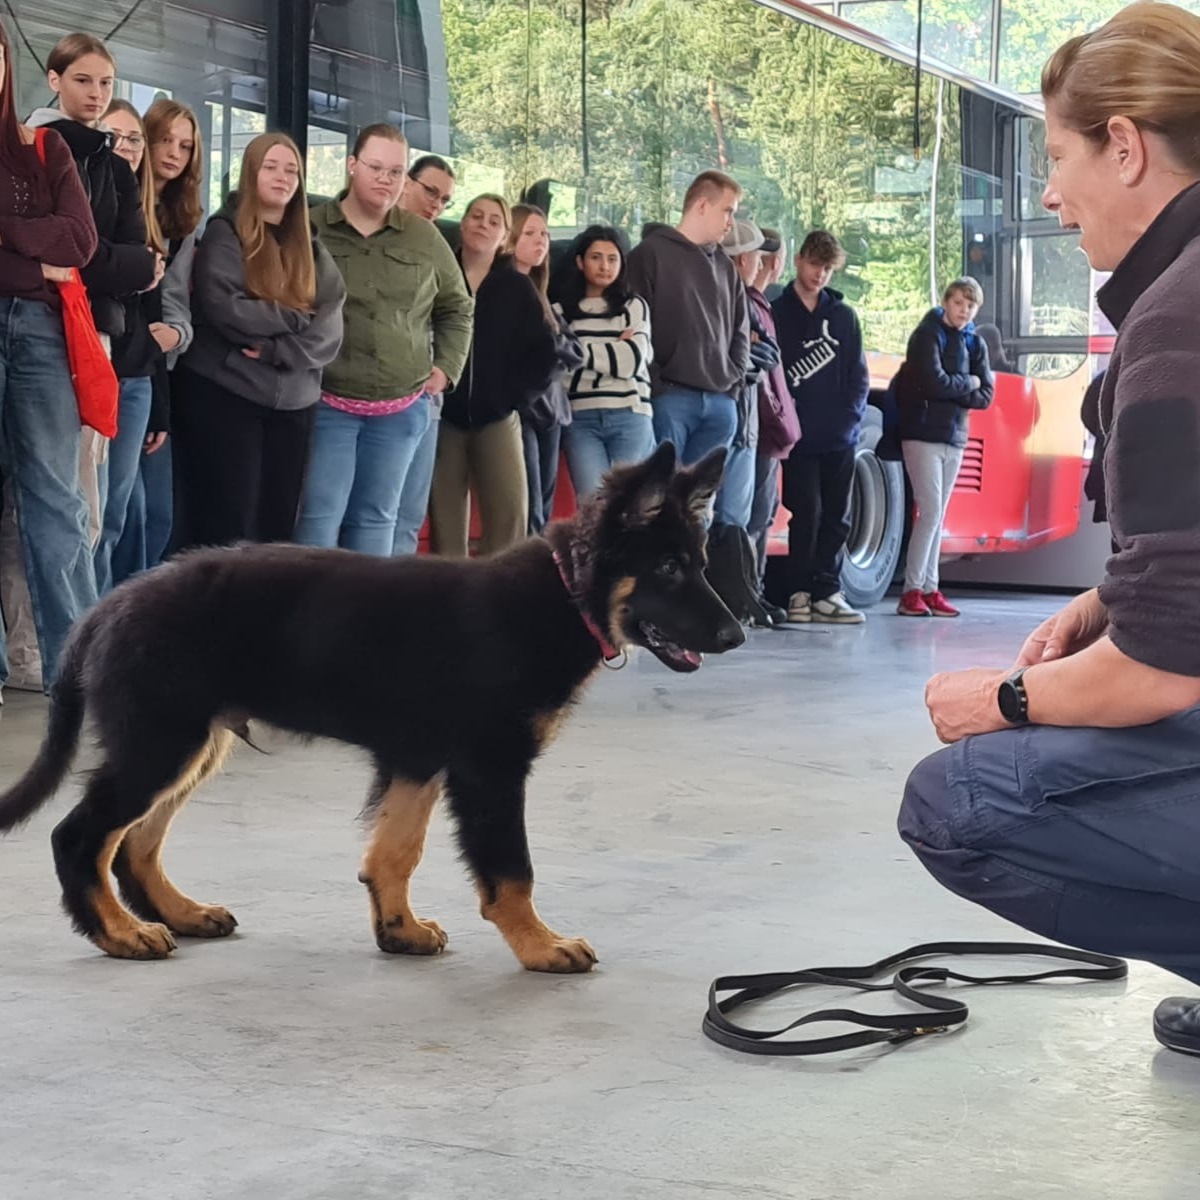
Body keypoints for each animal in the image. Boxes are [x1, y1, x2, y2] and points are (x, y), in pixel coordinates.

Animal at [0, 441, 739, 974]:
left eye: (700, 562)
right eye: (668, 569)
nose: (736, 634)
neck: (562, 593)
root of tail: (106, 605)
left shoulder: (419, 759)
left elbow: (395, 852)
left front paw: (399, 930)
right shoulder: (490, 768)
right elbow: (511, 869)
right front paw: (539, 945)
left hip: (192, 743)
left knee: (135, 843)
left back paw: (180, 914)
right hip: (161, 742)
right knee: (79, 837)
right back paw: (120, 934)